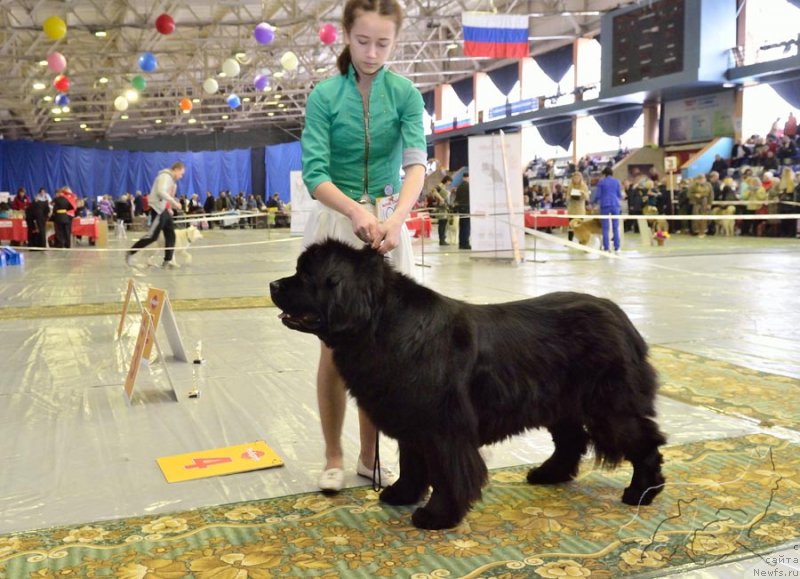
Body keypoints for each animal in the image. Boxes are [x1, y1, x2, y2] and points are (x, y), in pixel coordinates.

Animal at [272, 240, 664, 532]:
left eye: (306, 275)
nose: (274, 285)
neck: (381, 324)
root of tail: (619, 315)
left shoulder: (445, 428)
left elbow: (448, 472)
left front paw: (437, 515)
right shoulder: (412, 420)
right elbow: (413, 463)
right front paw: (401, 494)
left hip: (609, 406)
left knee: (644, 442)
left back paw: (642, 491)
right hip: (560, 403)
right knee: (571, 440)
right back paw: (547, 474)